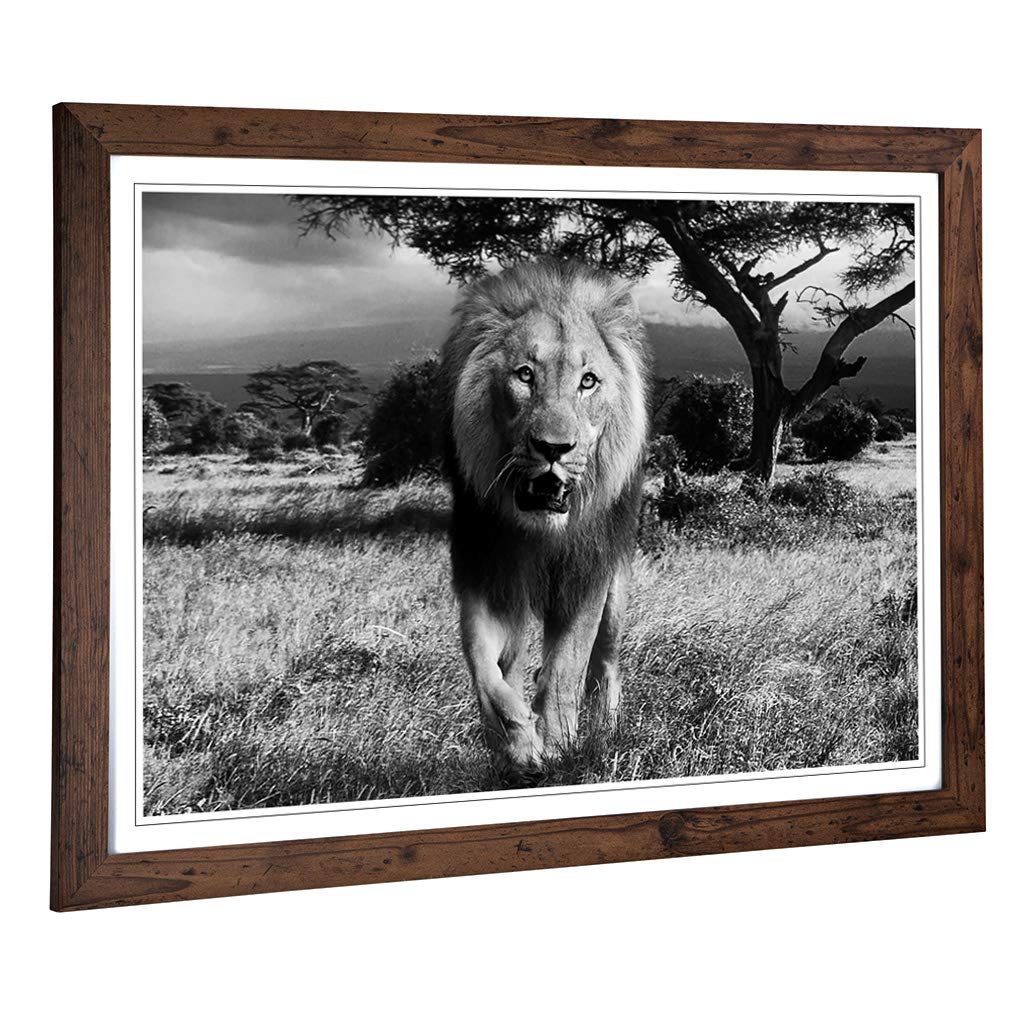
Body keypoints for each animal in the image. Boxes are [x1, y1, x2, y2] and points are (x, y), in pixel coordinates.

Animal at [440, 259, 650, 775]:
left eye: (588, 381)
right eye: (524, 375)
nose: (554, 449)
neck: (539, 532)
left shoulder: (586, 578)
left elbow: (565, 669)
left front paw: (557, 744)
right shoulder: (487, 573)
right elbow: (484, 670)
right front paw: (519, 746)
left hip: (617, 592)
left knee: (606, 662)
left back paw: (604, 729)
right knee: (514, 663)